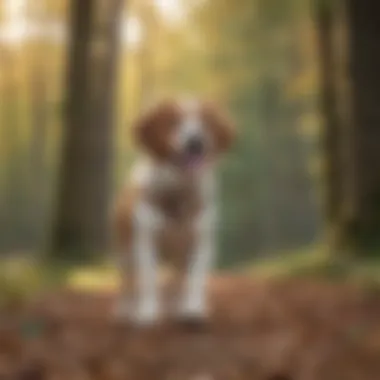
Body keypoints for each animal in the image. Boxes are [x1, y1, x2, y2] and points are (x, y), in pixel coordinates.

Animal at [111, 96, 235, 326]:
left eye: (204, 122)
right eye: (174, 122)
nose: (195, 141)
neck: (178, 192)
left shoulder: (200, 242)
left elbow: (194, 280)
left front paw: (192, 310)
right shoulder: (146, 242)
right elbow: (148, 281)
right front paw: (147, 314)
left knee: (179, 279)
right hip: (124, 253)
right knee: (127, 282)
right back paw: (125, 310)